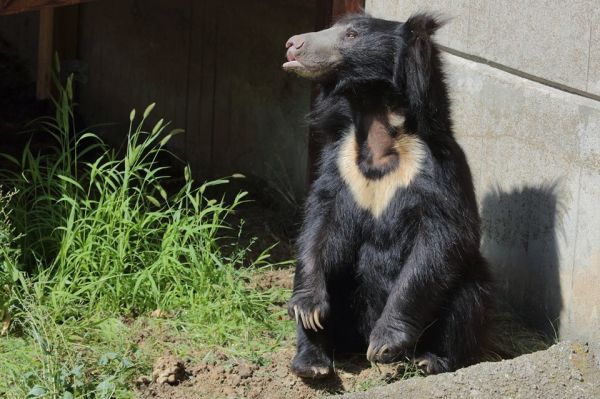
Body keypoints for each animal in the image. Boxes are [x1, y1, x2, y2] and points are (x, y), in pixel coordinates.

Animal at [282, 12, 492, 380]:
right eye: (333, 27)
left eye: (351, 35)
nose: (293, 44)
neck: (378, 126)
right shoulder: (339, 163)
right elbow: (318, 223)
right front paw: (308, 308)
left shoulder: (436, 167)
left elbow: (442, 238)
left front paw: (384, 344)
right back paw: (313, 362)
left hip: (464, 288)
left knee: (468, 292)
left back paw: (429, 360)